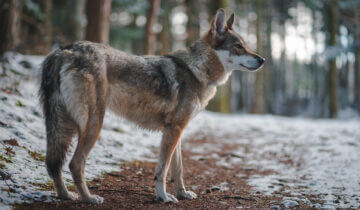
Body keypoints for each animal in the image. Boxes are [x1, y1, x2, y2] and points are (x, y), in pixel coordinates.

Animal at [39, 8, 264, 203]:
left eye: (246, 45)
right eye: (238, 47)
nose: (262, 59)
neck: (197, 70)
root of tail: (63, 50)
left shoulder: (176, 130)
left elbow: (178, 170)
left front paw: (183, 194)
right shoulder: (173, 130)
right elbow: (162, 171)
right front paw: (164, 197)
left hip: (64, 126)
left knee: (54, 164)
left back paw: (66, 195)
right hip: (93, 125)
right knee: (75, 164)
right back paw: (88, 198)